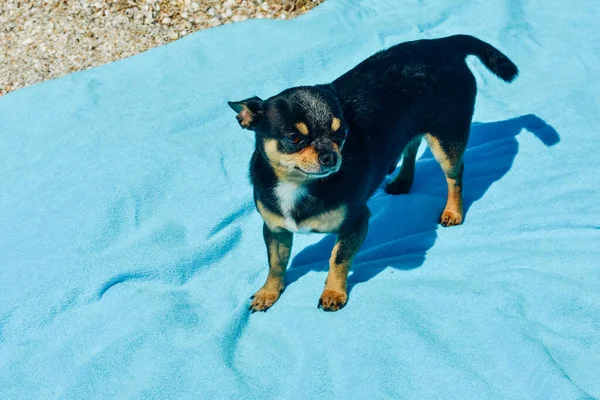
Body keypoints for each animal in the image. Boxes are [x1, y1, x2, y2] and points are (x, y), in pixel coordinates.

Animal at [227, 34, 516, 312]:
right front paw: (269, 292)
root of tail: (444, 44)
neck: (297, 184)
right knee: (411, 145)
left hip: (447, 141)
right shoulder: (275, 230)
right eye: (293, 138)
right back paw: (403, 181)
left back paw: (453, 211)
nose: (331, 156)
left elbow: (337, 259)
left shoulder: (356, 223)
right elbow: (275, 264)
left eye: (341, 133)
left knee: (454, 176)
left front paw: (333, 293)